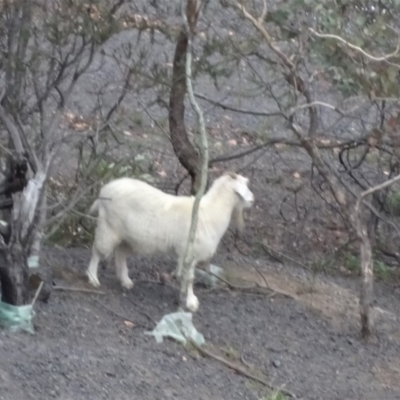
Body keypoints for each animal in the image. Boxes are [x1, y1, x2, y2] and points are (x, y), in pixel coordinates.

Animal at [85, 172, 253, 312]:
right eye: (244, 185)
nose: (252, 200)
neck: (210, 211)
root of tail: (104, 190)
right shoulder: (189, 252)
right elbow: (189, 277)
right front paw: (191, 302)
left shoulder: (186, 254)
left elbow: (184, 276)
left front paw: (185, 297)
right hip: (108, 227)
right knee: (97, 251)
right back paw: (93, 278)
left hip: (128, 236)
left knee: (120, 254)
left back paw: (125, 281)